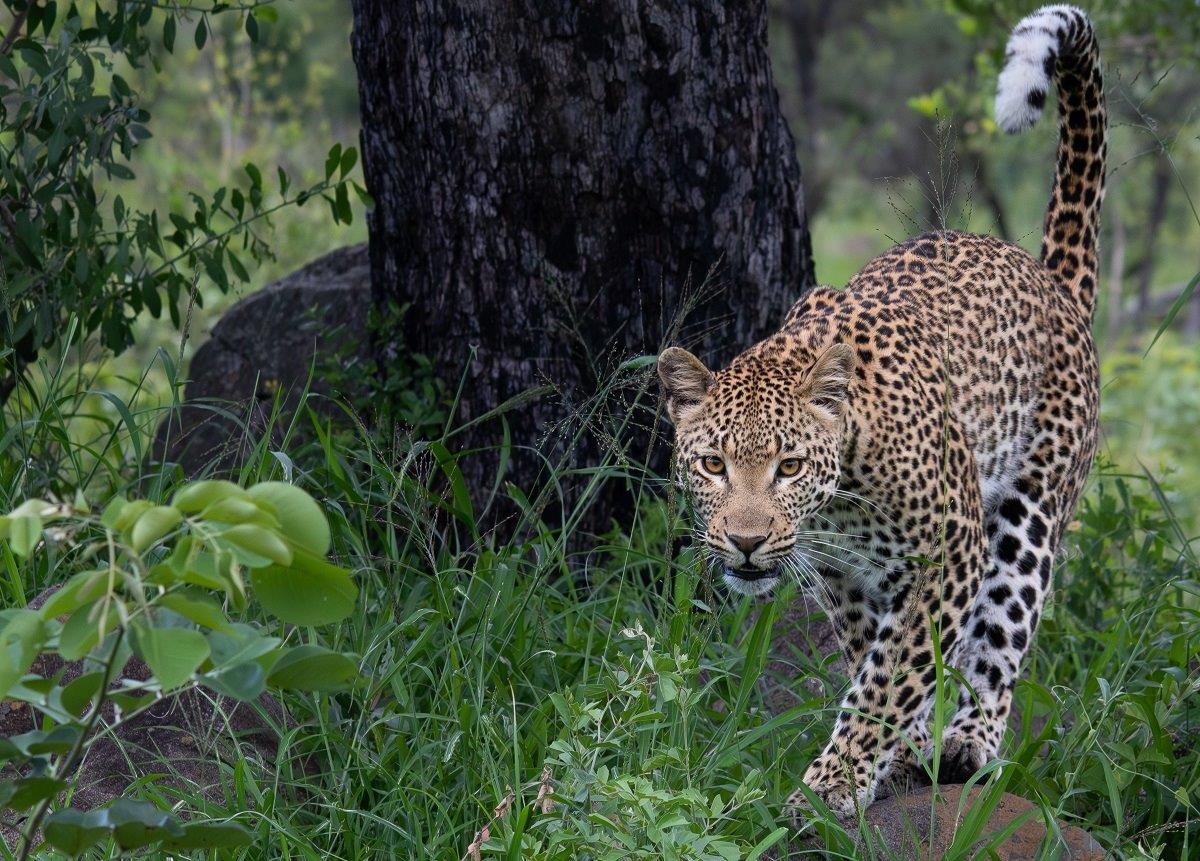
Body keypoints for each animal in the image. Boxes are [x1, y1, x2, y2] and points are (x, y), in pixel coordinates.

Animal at [658, 5, 1105, 817]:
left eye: (788, 466)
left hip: (1030, 507)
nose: (744, 542)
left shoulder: (948, 552)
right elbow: (879, 661)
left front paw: (834, 781)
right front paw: (890, 755)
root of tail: (1050, 277)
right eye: (711, 463)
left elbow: (891, 676)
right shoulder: (845, 577)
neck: (843, 497)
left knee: (1002, 635)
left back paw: (968, 742)